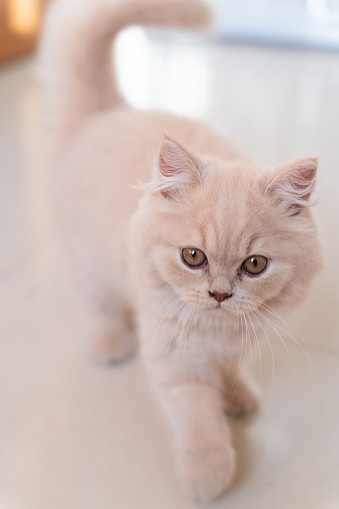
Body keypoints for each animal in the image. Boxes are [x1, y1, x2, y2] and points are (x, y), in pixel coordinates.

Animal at [39, 0, 324, 502]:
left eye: (255, 265)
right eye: (194, 257)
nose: (220, 294)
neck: (216, 331)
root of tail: (106, 111)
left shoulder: (237, 343)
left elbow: (230, 371)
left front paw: (238, 398)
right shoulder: (177, 359)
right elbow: (197, 417)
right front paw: (207, 474)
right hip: (87, 258)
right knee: (94, 301)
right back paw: (110, 343)